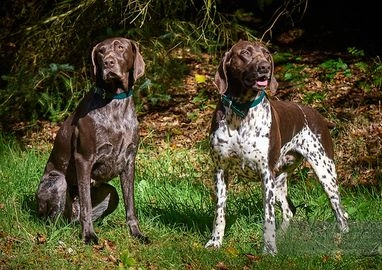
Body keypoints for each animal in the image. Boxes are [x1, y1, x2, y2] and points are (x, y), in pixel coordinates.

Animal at [36, 37, 148, 244]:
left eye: (121, 47)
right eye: (101, 52)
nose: (108, 63)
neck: (115, 102)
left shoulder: (129, 162)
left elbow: (131, 206)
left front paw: (136, 233)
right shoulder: (84, 159)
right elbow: (86, 205)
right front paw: (88, 235)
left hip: (111, 194)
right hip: (58, 182)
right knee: (56, 220)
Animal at [206, 39, 350, 253]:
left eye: (266, 54)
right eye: (245, 53)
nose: (264, 67)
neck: (242, 112)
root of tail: (315, 113)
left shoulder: (266, 173)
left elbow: (268, 215)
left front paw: (269, 249)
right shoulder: (221, 170)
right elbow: (220, 212)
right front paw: (215, 241)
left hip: (325, 172)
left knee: (339, 211)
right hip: (280, 179)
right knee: (289, 211)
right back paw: (282, 235)